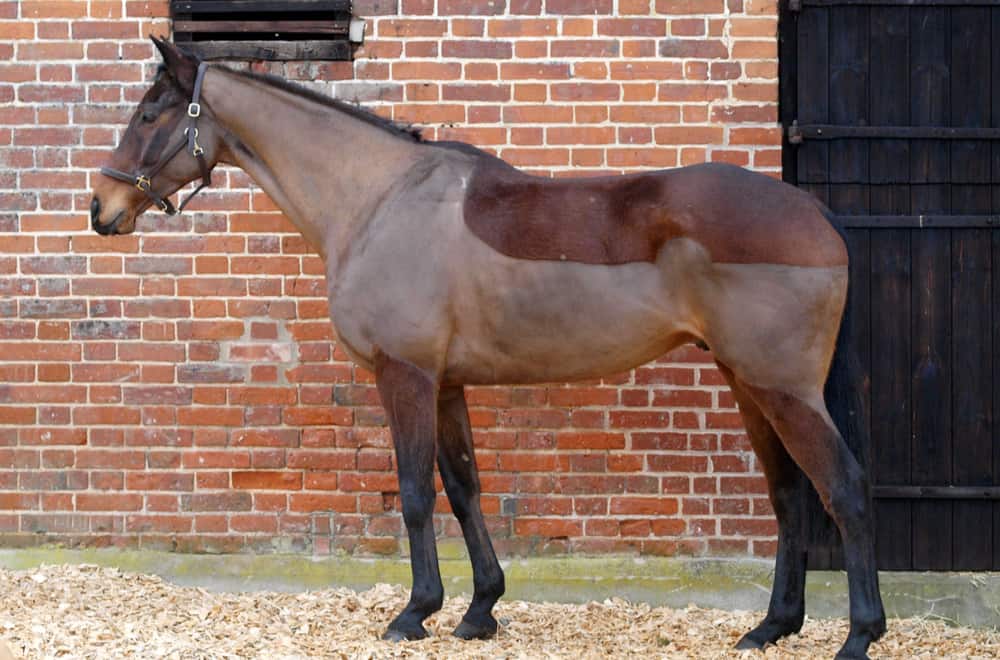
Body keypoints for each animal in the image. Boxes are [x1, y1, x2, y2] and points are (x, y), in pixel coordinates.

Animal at [89, 37, 885, 659]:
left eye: (150, 114)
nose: (103, 208)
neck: (377, 199)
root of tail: (811, 213)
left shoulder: (405, 374)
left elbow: (415, 492)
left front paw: (414, 613)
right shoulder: (445, 383)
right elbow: (465, 487)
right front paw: (479, 610)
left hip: (781, 387)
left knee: (843, 487)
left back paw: (858, 635)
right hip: (747, 382)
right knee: (788, 493)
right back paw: (772, 628)